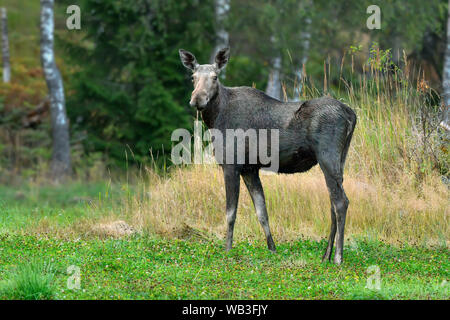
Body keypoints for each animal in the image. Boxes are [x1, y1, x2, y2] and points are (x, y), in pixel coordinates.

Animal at [178, 46, 356, 264]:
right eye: (193, 77)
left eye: (215, 77)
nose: (197, 99)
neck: (215, 120)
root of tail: (351, 114)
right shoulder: (250, 169)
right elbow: (262, 211)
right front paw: (272, 249)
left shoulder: (231, 164)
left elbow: (230, 213)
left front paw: (227, 251)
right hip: (341, 158)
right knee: (333, 203)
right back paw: (325, 256)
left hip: (327, 156)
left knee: (341, 202)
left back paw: (338, 257)